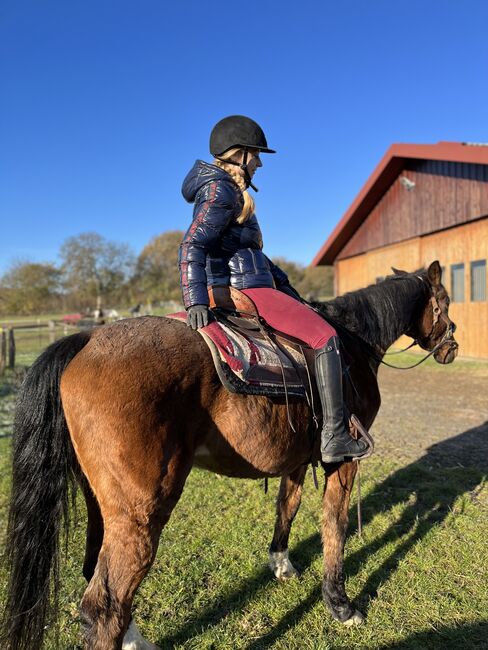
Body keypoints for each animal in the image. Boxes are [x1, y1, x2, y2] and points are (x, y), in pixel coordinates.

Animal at [0, 260, 458, 644]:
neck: (351, 344)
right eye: (446, 301)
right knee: (104, 606)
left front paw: (281, 564)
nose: (452, 346)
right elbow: (335, 526)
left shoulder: (296, 457)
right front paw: (340, 604)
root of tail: (86, 338)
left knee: (96, 576)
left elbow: (287, 505)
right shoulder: (342, 462)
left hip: (102, 504)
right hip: (140, 514)